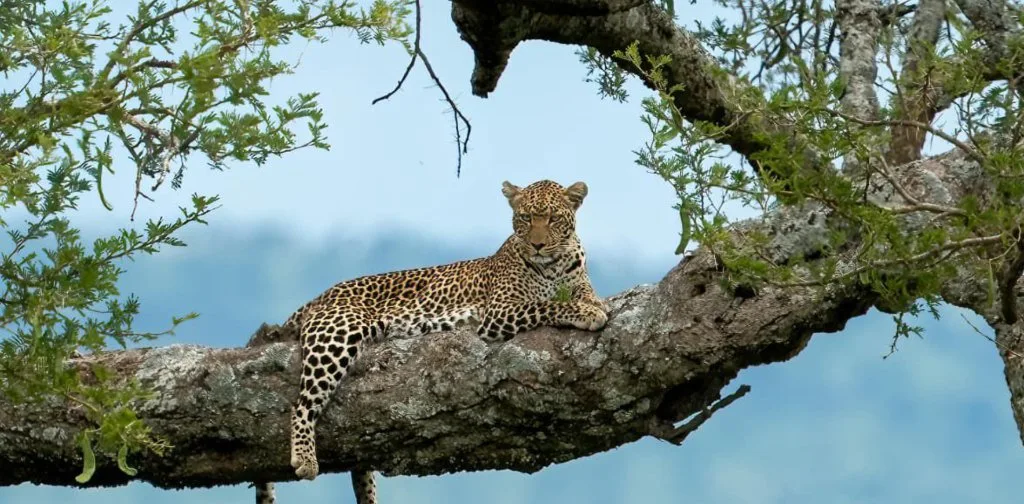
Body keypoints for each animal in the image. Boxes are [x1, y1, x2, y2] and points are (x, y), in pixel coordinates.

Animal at [280, 179, 610, 503]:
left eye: (553, 219)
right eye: (526, 218)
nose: (537, 245)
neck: (554, 264)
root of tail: (321, 296)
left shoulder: (575, 282)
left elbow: (583, 294)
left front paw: (594, 304)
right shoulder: (499, 311)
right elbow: (546, 305)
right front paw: (587, 312)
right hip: (338, 332)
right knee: (302, 403)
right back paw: (305, 457)